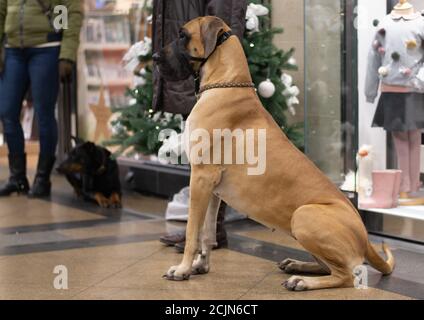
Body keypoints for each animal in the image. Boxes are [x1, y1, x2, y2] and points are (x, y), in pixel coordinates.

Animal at [152, 17, 394, 292]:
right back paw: (298, 266)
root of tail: (366, 240)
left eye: (182, 35)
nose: (154, 57)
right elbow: (207, 233)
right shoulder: (213, 190)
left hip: (303, 215)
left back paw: (302, 281)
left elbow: (193, 232)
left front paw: (182, 269)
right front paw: (200, 266)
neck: (225, 82)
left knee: (346, 276)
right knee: (329, 267)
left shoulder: (201, 179)